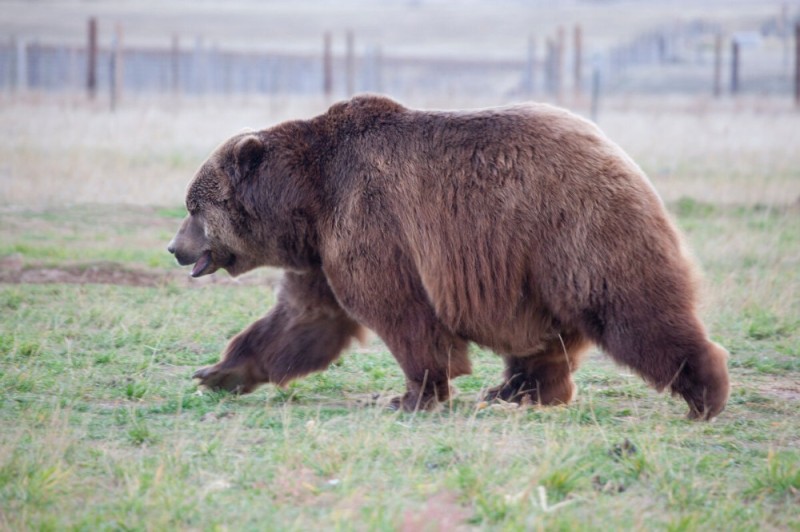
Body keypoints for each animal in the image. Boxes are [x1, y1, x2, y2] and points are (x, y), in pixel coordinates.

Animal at [169, 94, 732, 420]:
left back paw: (705, 394)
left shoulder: (370, 218)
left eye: (195, 207)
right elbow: (303, 318)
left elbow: (401, 314)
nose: (175, 248)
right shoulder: (322, 252)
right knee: (544, 339)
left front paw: (410, 396)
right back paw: (516, 391)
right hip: (530, 269)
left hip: (575, 229)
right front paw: (219, 372)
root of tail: (615, 150)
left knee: (629, 308)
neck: (305, 200)